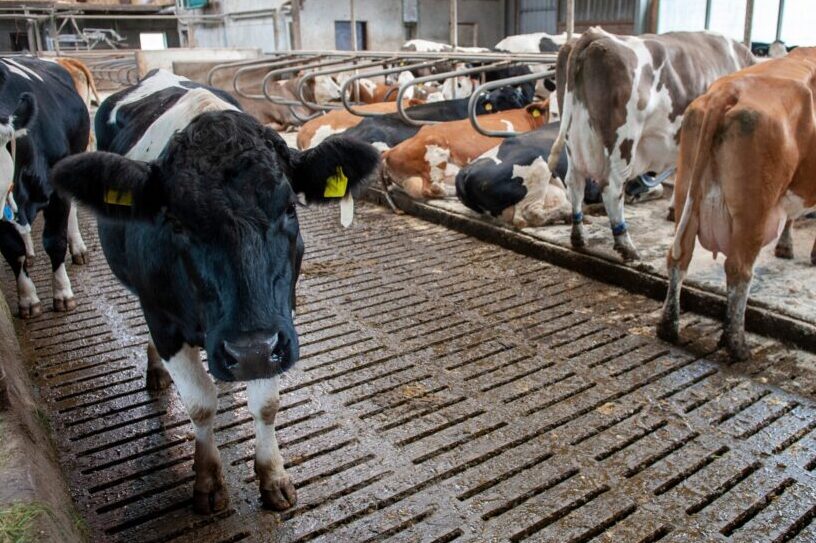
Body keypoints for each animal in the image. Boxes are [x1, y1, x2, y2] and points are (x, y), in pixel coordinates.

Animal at [0, 56, 89, 318]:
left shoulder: (57, 193)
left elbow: (54, 241)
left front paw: (63, 293)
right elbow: (13, 250)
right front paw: (28, 299)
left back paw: (78, 248)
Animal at [52, 69, 380, 516]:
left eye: (289, 208)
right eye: (175, 221)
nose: (250, 350)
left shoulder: (281, 318)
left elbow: (266, 404)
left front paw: (273, 476)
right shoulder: (164, 318)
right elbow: (199, 404)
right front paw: (207, 481)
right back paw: (158, 372)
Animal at [552, 27, 756, 262]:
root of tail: (595, 35)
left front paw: (674, 210)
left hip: (574, 140)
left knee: (575, 184)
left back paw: (578, 236)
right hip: (623, 142)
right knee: (612, 188)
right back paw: (626, 246)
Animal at [656, 47, 816, 362]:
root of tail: (729, 91)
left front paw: (786, 247)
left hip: (686, 191)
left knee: (679, 257)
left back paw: (669, 327)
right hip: (754, 209)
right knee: (738, 269)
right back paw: (737, 344)